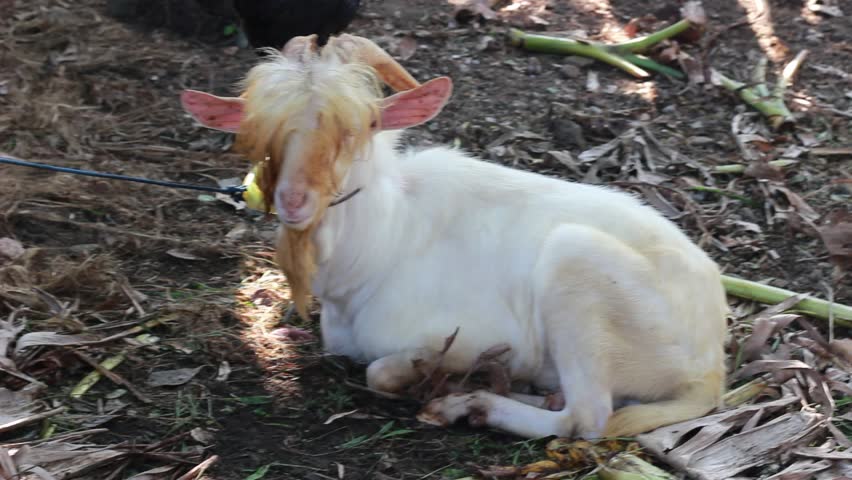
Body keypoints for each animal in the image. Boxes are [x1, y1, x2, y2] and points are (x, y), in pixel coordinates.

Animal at [180, 34, 729, 440]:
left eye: (365, 124)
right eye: (265, 132)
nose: (294, 200)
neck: (385, 237)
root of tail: (711, 365)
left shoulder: (472, 332)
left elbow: (381, 371)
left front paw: (426, 374)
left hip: (579, 270)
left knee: (587, 416)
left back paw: (473, 403)